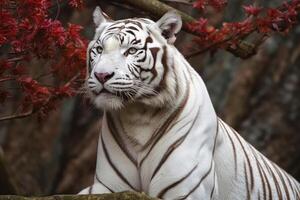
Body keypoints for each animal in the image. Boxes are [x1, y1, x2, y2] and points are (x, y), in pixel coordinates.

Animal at [79, 6, 300, 200]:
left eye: (131, 50)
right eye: (99, 49)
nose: (101, 75)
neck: (138, 116)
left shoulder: (185, 190)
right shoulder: (108, 187)